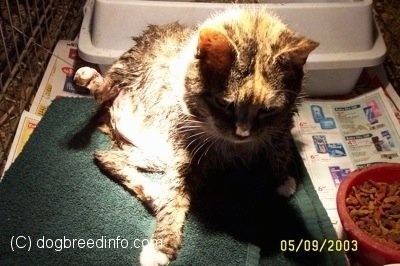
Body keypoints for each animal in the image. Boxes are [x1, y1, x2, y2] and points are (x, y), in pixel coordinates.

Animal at [73, 7, 318, 266]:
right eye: (224, 104)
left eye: (267, 110)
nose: (242, 133)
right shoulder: (186, 151)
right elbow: (174, 198)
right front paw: (161, 247)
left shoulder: (282, 123)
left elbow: (280, 147)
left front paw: (284, 179)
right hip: (125, 74)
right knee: (103, 97)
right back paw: (88, 77)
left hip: (153, 155)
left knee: (107, 157)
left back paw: (153, 194)